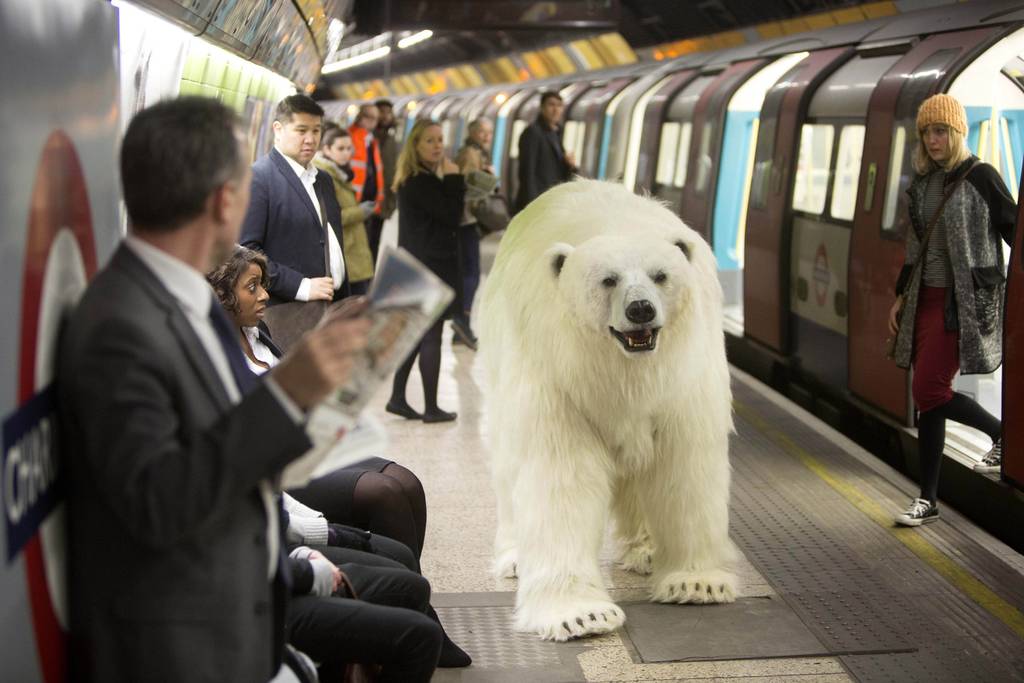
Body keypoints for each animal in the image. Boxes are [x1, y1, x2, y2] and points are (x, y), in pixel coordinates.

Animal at [479, 178, 737, 643]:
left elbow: (684, 464)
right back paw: (515, 556)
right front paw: (580, 615)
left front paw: (697, 583)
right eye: (607, 280)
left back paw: (647, 549)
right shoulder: (560, 375)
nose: (641, 309)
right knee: (507, 466)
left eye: (661, 275)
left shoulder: (683, 379)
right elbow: (560, 474)